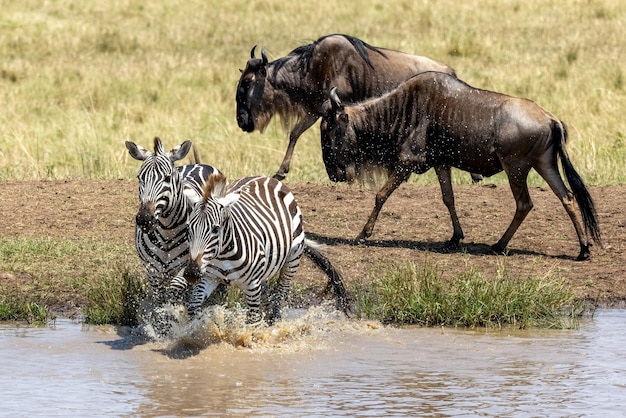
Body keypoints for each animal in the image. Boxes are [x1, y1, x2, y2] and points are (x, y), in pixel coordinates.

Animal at [124, 137, 219, 306]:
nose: (144, 219)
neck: (167, 230)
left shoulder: (188, 264)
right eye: (140, 178)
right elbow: (159, 298)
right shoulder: (152, 270)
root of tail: (199, 164)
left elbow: (175, 289)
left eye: (167, 178)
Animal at [168, 173, 348, 324]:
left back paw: (273, 323)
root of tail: (266, 177)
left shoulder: (253, 285)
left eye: (215, 229)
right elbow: (193, 307)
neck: (224, 255)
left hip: (293, 258)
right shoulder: (209, 277)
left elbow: (252, 320)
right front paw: (199, 329)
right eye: (188, 228)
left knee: (281, 293)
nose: (191, 273)